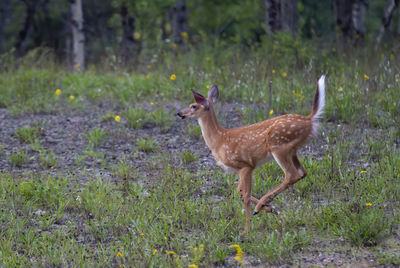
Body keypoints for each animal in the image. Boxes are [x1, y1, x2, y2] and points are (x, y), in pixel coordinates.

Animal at [177, 75, 324, 234]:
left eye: (193, 106)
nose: (179, 113)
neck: (219, 140)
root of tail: (310, 119)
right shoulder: (240, 169)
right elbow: (240, 191)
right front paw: (271, 209)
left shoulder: (245, 165)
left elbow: (245, 195)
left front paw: (246, 230)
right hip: (292, 150)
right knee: (303, 172)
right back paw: (263, 206)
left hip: (279, 146)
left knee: (291, 175)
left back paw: (258, 207)